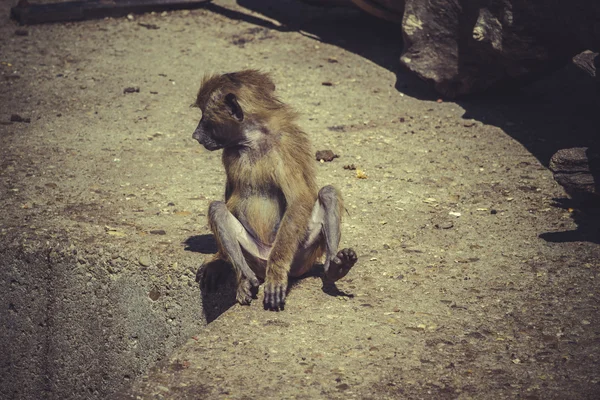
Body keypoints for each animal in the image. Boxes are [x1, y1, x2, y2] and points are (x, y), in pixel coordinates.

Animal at [191, 70, 356, 310]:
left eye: (205, 115)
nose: (195, 135)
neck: (252, 141)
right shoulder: (229, 152)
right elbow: (227, 198)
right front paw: (217, 260)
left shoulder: (283, 148)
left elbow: (299, 200)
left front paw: (277, 275)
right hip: (253, 255)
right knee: (218, 209)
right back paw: (244, 279)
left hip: (300, 253)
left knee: (328, 193)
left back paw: (335, 268)